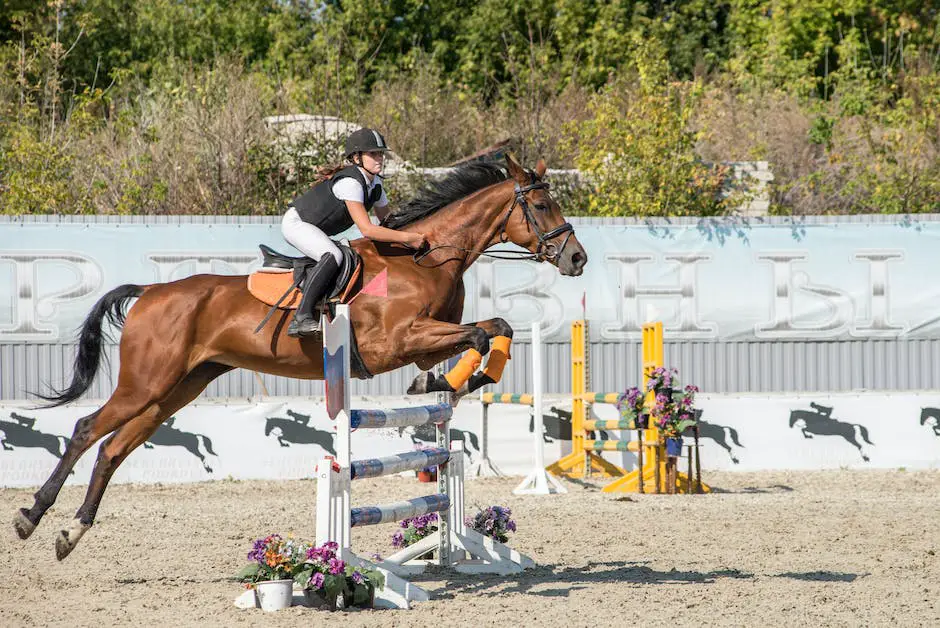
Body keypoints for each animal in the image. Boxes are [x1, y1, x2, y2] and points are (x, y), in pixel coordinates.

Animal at [12, 156, 588, 560]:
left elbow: (491, 332)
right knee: (86, 429)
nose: (577, 258)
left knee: (113, 449)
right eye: (541, 207)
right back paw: (31, 517)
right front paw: (454, 381)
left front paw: (444, 385)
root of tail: (151, 292)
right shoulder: (397, 341)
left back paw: (71, 532)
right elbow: (485, 332)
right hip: (146, 383)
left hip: (178, 388)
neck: (425, 257)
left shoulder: (428, 342)